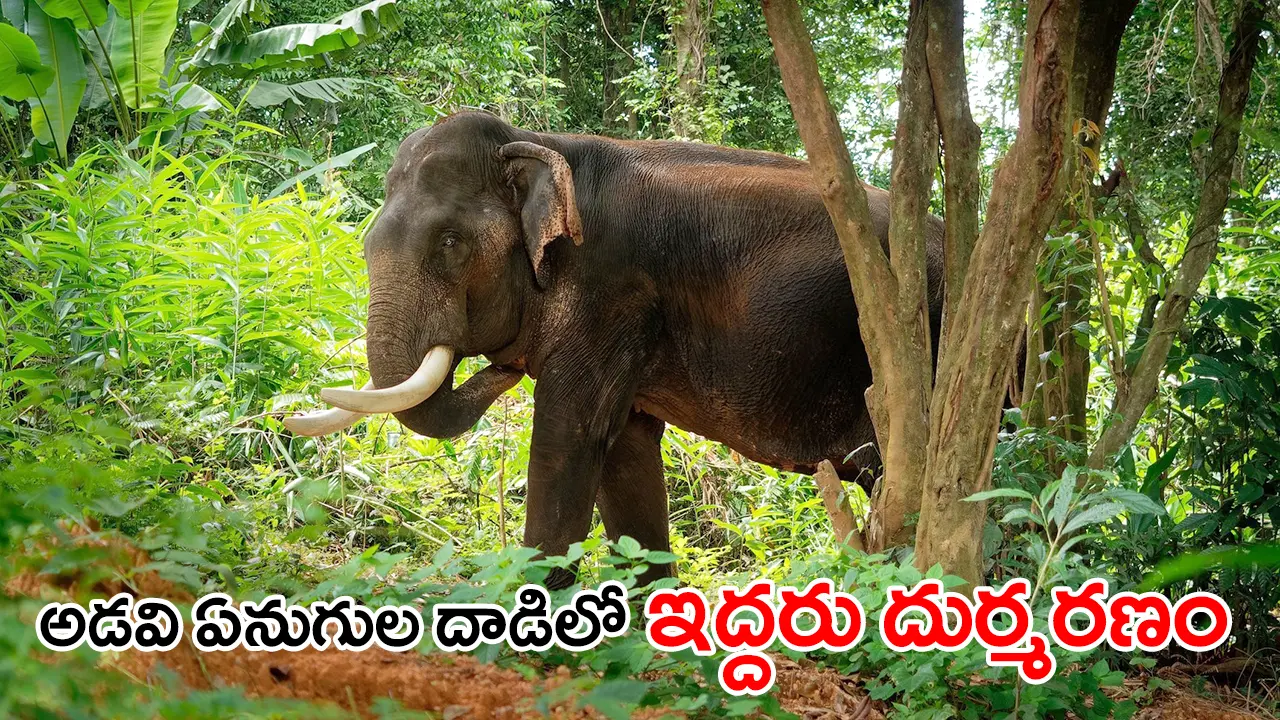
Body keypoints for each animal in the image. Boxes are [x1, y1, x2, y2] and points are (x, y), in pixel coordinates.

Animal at [287, 110, 944, 587]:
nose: (502, 366)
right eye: (366, 243)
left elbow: (570, 435)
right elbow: (625, 449)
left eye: (450, 242)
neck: (538, 142)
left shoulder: (613, 294)